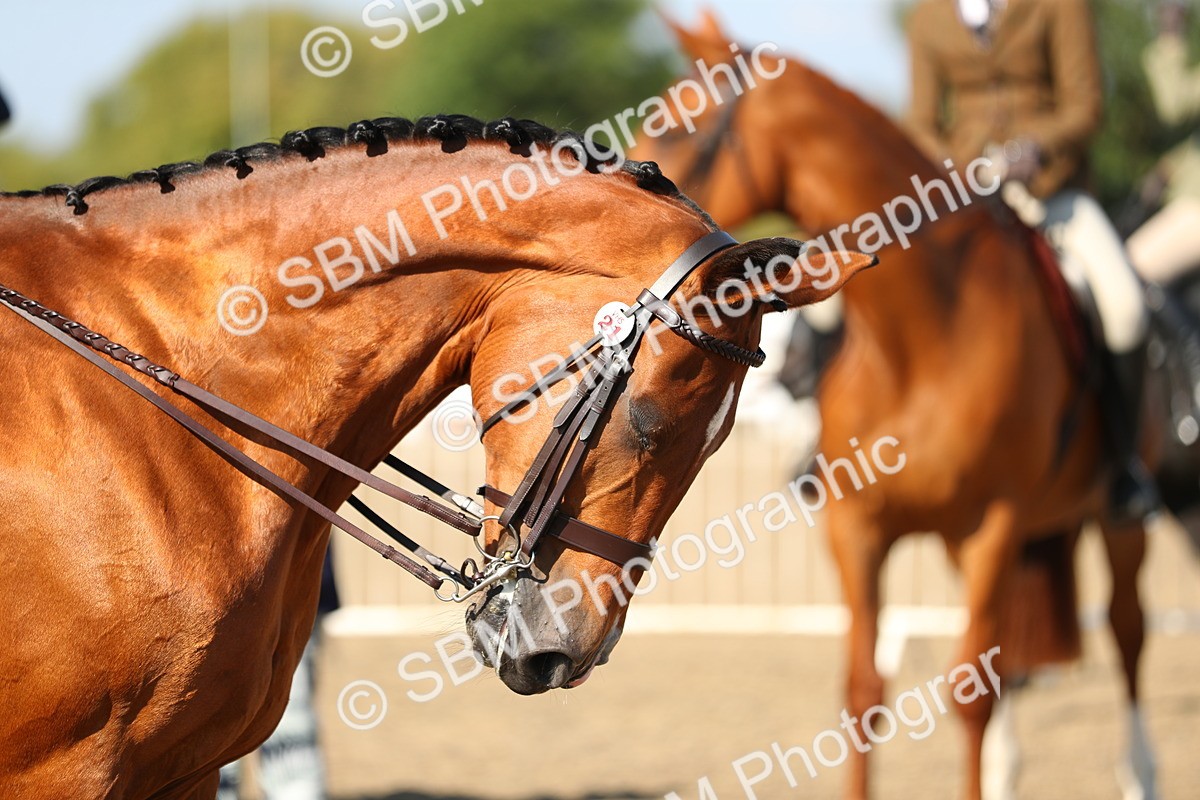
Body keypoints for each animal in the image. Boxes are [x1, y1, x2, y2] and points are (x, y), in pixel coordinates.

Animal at [633, 16, 1159, 800]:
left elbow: (969, 695)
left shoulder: (994, 526)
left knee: (1126, 632)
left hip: (1115, 524)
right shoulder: (858, 529)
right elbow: (862, 692)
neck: (921, 339)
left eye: (677, 130)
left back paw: (1139, 770)